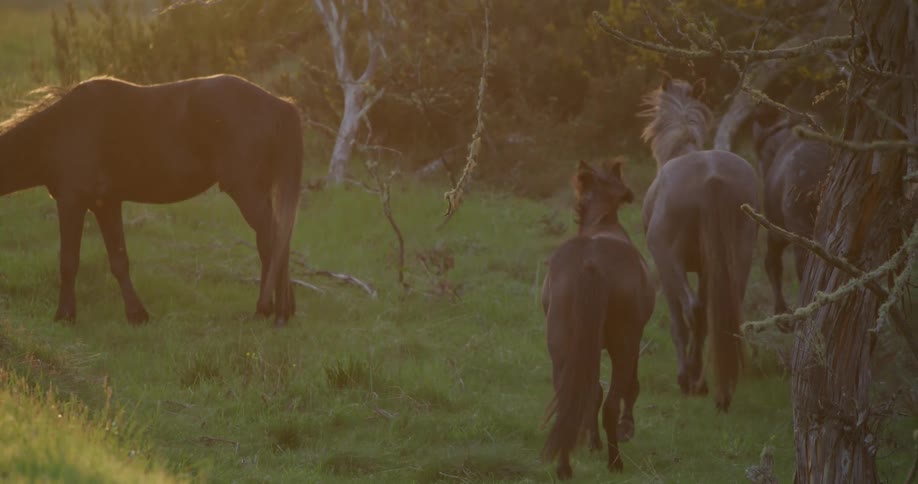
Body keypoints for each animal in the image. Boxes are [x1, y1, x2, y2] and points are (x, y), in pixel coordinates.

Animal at [0, 74, 303, 327]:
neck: (59, 129)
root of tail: (280, 106)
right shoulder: (105, 204)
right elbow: (119, 260)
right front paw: (137, 315)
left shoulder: (71, 201)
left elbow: (68, 261)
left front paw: (64, 315)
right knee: (276, 240)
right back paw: (281, 310)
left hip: (246, 191)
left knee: (272, 240)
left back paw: (272, 311)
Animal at [541, 159, 655, 479]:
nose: (631, 193)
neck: (603, 223)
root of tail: (591, 262)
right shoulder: (634, 338)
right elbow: (630, 386)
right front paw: (625, 429)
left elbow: (592, 392)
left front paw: (593, 443)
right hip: (623, 345)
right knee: (612, 403)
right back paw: (615, 461)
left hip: (561, 349)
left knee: (571, 400)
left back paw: (564, 467)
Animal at [639, 78, 759, 412]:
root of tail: (712, 178)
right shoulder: (707, 269)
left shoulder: (665, 268)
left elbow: (679, 323)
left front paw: (686, 378)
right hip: (738, 258)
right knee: (723, 315)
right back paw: (719, 389)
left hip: (671, 260)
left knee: (692, 311)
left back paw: (693, 379)